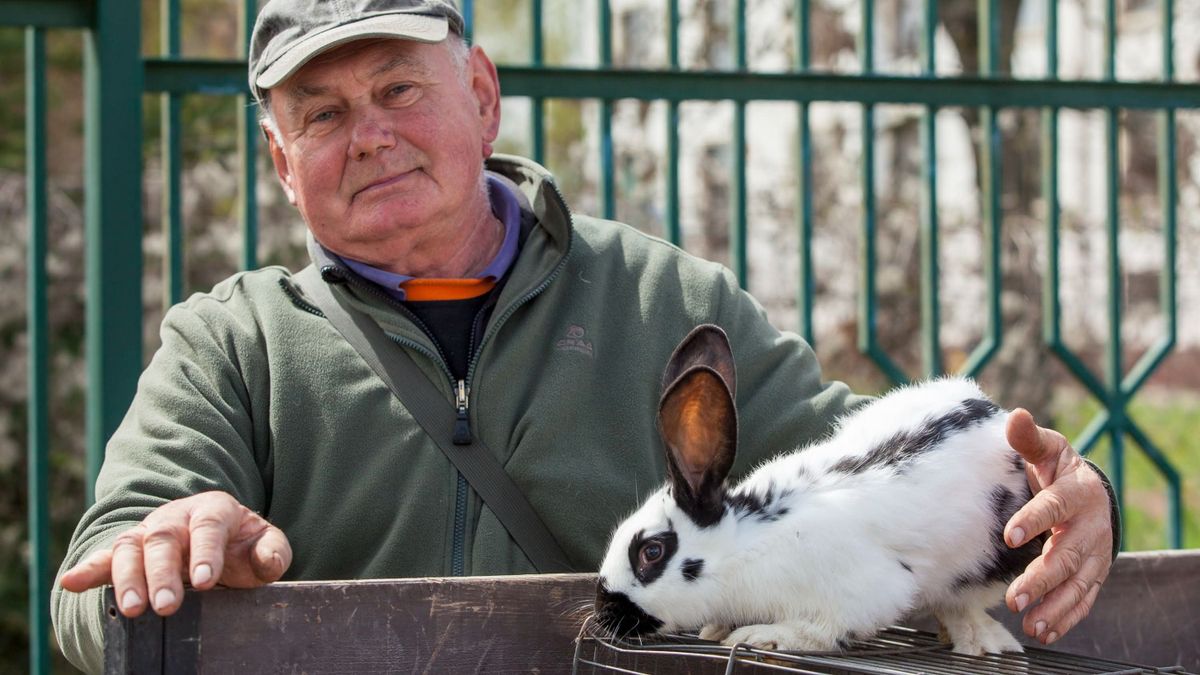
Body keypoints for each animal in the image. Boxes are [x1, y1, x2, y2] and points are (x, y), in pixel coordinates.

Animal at [595, 324, 1046, 653]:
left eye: (651, 552)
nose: (604, 610)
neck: (744, 546)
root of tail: (996, 415)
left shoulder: (864, 593)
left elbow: (823, 631)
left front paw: (762, 636)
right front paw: (716, 629)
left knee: (962, 607)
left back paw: (979, 642)